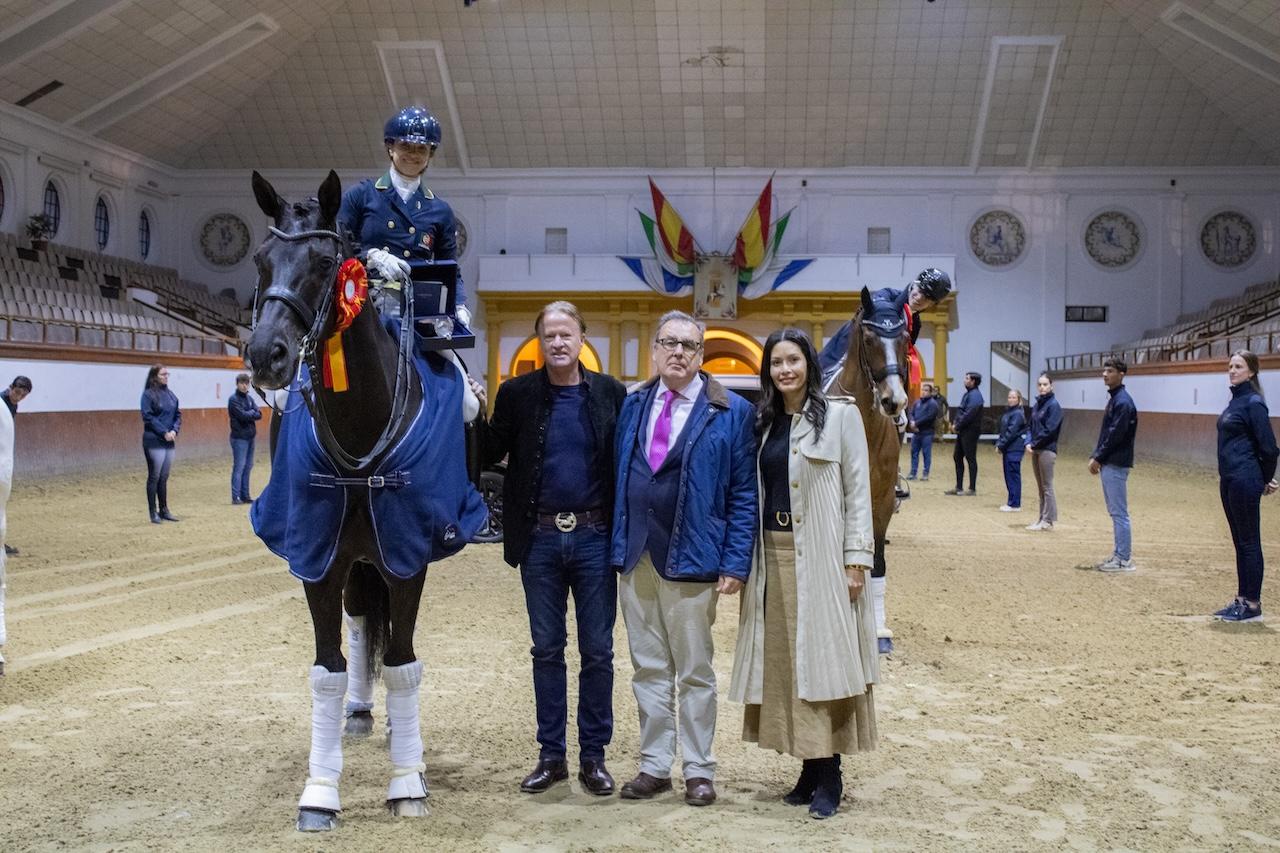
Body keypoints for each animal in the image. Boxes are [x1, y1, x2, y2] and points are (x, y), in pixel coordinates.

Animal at [241, 169, 478, 824]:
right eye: (261, 259)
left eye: (326, 263)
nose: (265, 354)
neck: (361, 426)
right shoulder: (316, 555)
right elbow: (328, 668)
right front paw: (320, 792)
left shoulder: (407, 553)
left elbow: (402, 664)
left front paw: (406, 784)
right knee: (358, 620)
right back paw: (359, 713)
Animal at [824, 285, 916, 650]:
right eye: (868, 338)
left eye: (904, 338)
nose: (894, 401)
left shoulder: (882, 503)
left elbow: (876, 563)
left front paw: (879, 632)